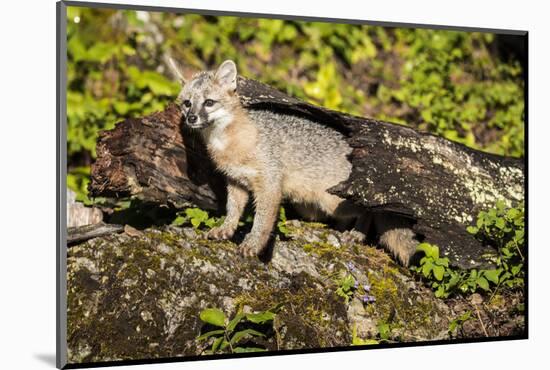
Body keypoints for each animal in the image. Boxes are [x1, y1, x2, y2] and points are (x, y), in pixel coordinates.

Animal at [172, 59, 418, 264]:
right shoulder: (236, 182)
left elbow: (262, 222)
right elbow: (232, 210)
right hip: (310, 206)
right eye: (187, 103)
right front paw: (225, 229)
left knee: (368, 212)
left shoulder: (270, 185)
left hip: (333, 202)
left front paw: (253, 245)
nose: (191, 118)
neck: (230, 142)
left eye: (209, 102)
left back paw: (356, 234)